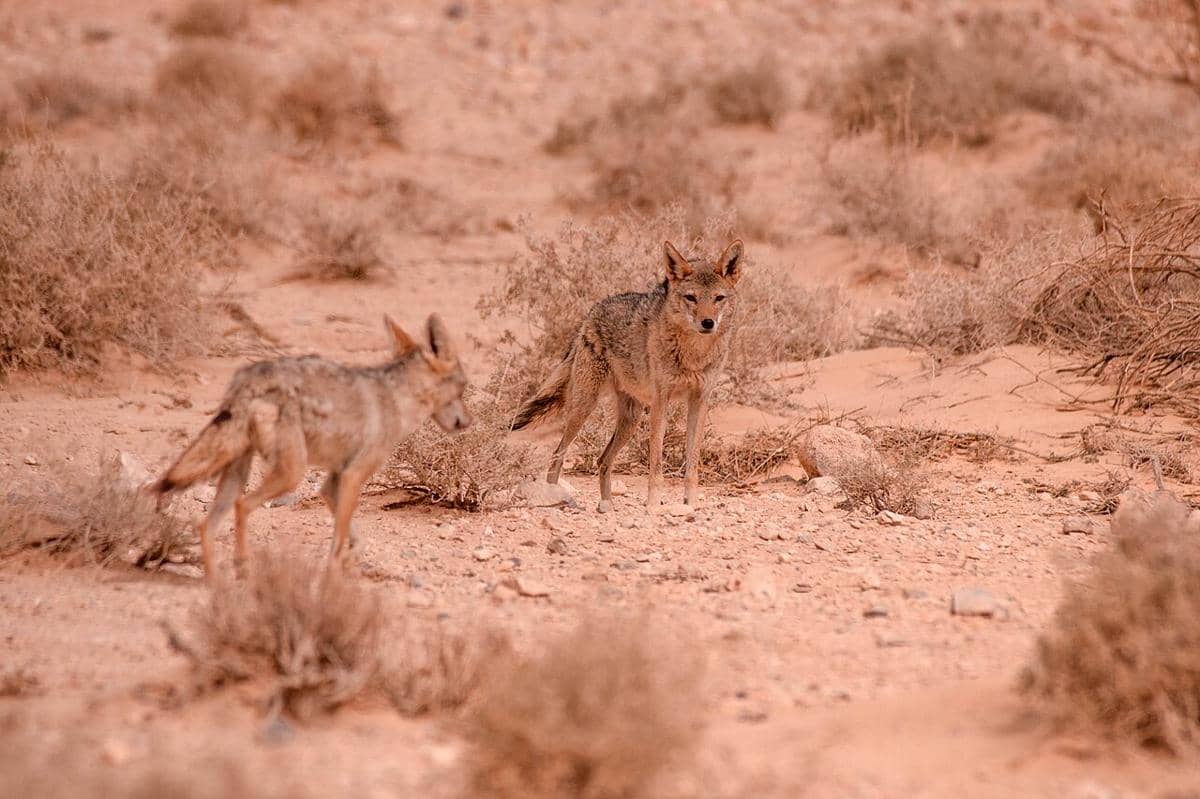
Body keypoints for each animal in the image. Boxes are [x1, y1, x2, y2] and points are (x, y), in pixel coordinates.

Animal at [153, 314, 471, 578]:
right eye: (463, 387)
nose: (468, 421)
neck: (397, 398)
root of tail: (250, 378)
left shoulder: (332, 481)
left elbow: (355, 539)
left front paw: (351, 561)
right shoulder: (353, 475)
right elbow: (339, 540)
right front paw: (334, 576)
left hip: (239, 473)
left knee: (206, 526)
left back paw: (217, 587)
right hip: (290, 474)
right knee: (242, 506)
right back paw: (242, 568)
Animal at [511, 239, 744, 512]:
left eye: (719, 298)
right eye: (691, 298)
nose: (708, 323)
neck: (694, 354)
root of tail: (589, 315)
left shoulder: (700, 400)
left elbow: (692, 465)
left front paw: (691, 505)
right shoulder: (661, 401)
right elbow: (656, 465)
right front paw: (653, 507)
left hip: (630, 420)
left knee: (602, 460)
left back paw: (607, 505)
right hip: (584, 408)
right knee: (557, 455)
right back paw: (554, 496)